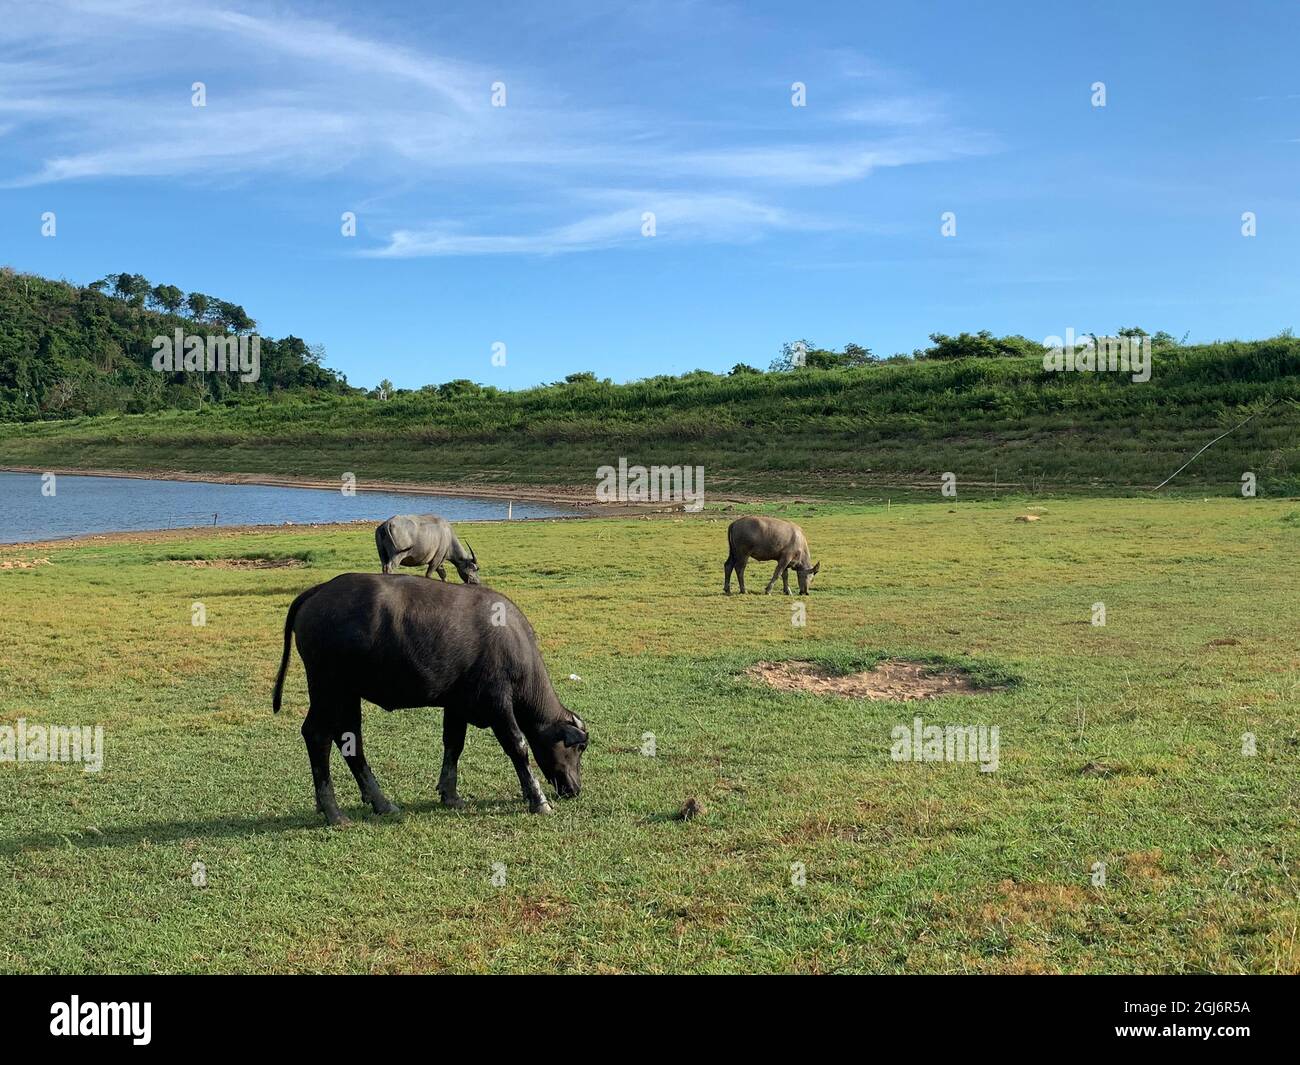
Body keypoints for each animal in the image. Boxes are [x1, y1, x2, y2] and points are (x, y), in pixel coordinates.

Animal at [274, 574, 590, 827]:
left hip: (348, 694)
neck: (511, 640)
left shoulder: (457, 704)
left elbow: (453, 744)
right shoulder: (498, 703)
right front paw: (538, 799)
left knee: (350, 741)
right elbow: (518, 745)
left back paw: (380, 803)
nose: (575, 789)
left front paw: (450, 795)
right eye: (579, 748)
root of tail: (319, 590)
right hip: (327, 688)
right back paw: (334, 812)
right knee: (317, 736)